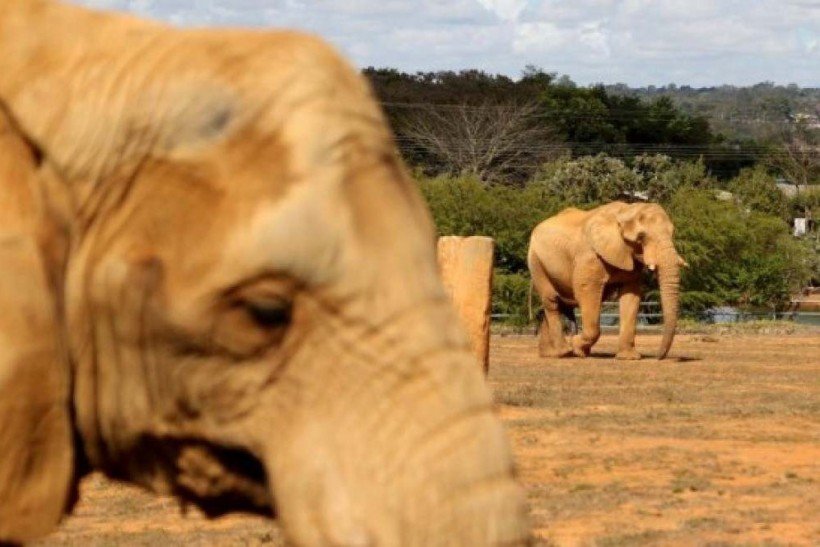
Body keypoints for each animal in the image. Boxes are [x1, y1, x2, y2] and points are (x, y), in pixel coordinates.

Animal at [527, 201, 686, 360]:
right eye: (641, 236)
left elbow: (631, 295)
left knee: (559, 304)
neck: (626, 211)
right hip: (536, 262)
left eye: (672, 233)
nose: (658, 357)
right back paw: (564, 352)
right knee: (552, 301)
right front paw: (577, 346)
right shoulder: (589, 257)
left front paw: (629, 357)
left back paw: (550, 354)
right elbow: (587, 292)